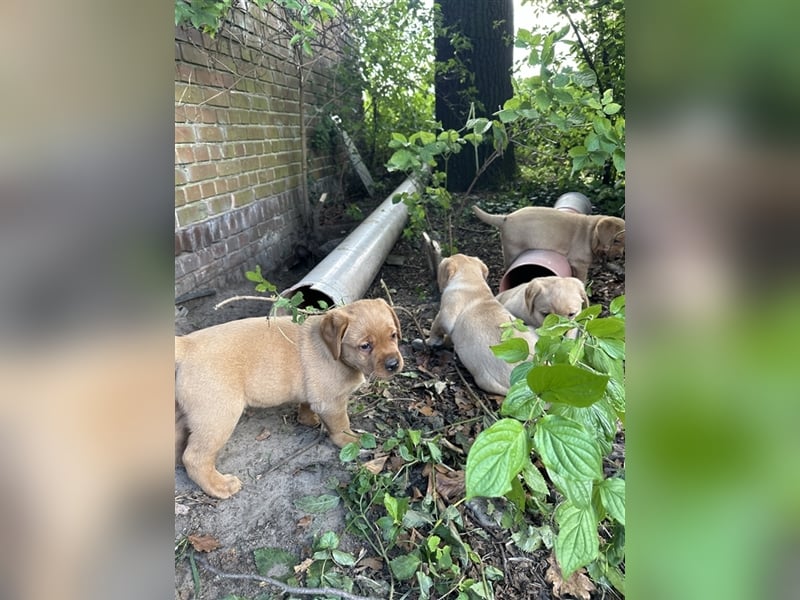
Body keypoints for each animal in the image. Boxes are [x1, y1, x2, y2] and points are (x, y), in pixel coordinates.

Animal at [173, 298, 400, 500]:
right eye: (365, 346)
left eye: (393, 335)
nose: (394, 364)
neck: (332, 350)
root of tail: (187, 344)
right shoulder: (331, 403)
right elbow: (341, 424)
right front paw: (350, 440)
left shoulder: (312, 394)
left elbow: (306, 406)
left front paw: (308, 420)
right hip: (218, 417)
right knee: (194, 458)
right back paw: (220, 486)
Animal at [472, 205, 628, 282]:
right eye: (616, 240)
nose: (619, 257)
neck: (591, 235)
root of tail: (506, 217)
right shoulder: (580, 264)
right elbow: (581, 280)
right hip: (512, 251)